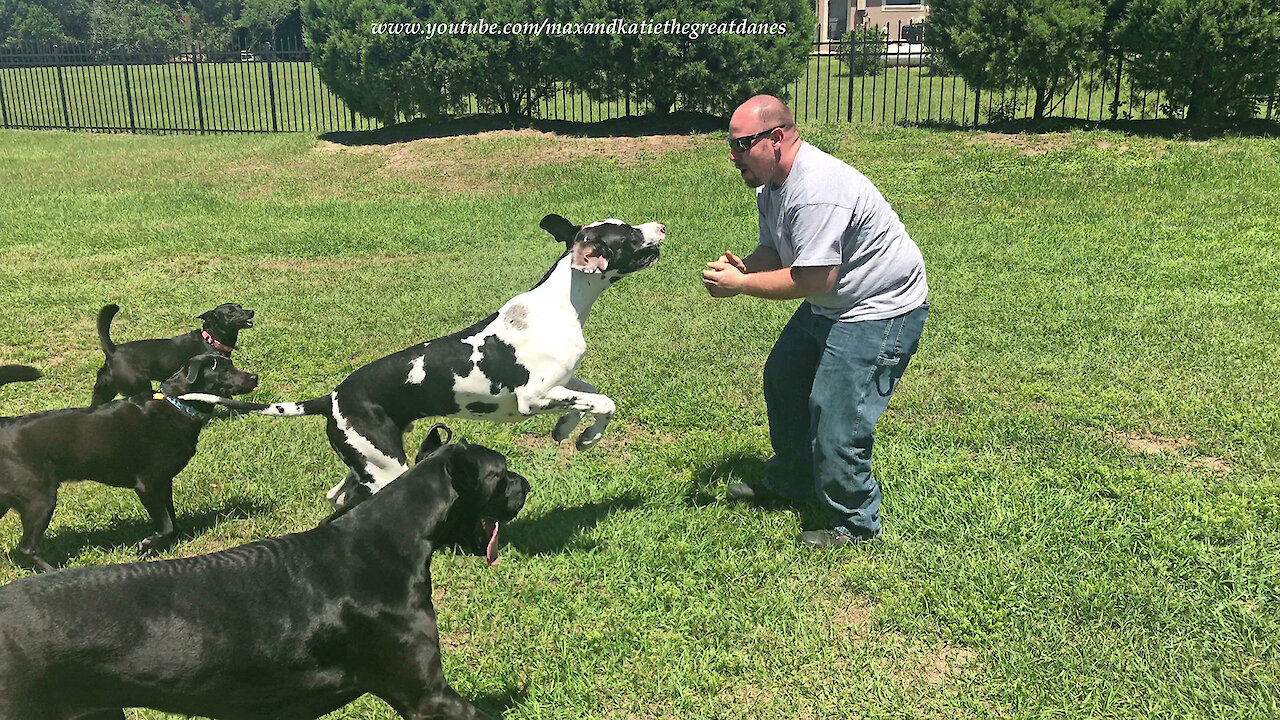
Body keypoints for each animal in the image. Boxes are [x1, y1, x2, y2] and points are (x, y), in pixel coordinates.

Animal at [0, 351, 259, 568]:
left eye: (231, 365)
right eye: (222, 370)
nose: (254, 376)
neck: (178, 405)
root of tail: (5, 423)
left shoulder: (164, 482)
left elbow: (172, 521)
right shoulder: (147, 485)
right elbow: (166, 526)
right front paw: (147, 544)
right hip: (40, 500)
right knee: (27, 548)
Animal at [91, 301, 253, 404]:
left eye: (240, 306)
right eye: (230, 312)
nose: (251, 311)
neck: (211, 339)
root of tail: (112, 351)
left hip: (103, 392)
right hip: (139, 386)